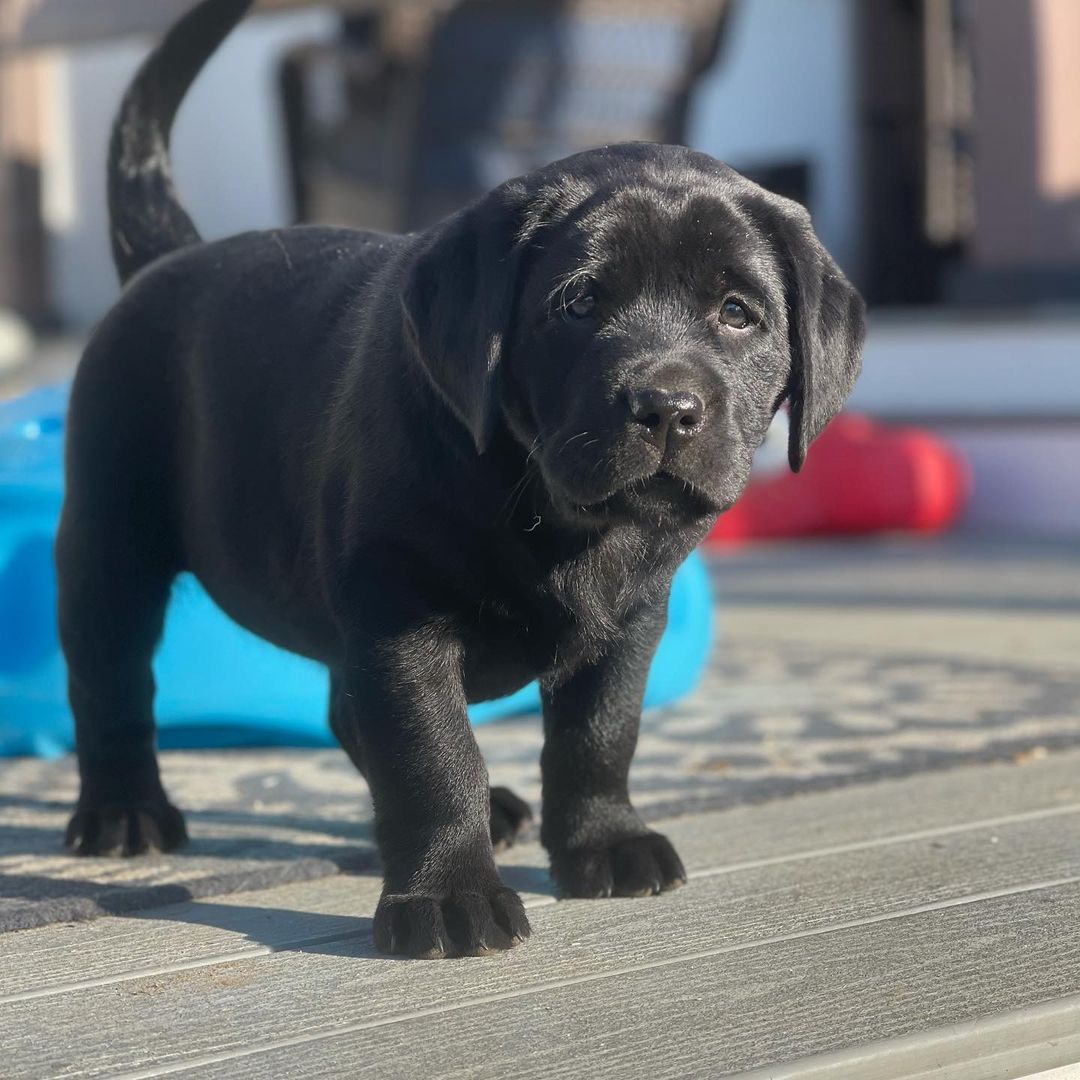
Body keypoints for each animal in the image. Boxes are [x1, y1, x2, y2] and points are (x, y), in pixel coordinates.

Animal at [59, 0, 864, 963]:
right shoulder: (402, 615)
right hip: (110, 538)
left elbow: (600, 733)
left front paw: (603, 844)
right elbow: (431, 753)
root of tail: (168, 258)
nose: (666, 406)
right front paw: (447, 897)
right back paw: (124, 811)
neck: (556, 512)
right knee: (110, 678)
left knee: (341, 711)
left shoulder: (630, 618)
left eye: (737, 313)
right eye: (577, 304)